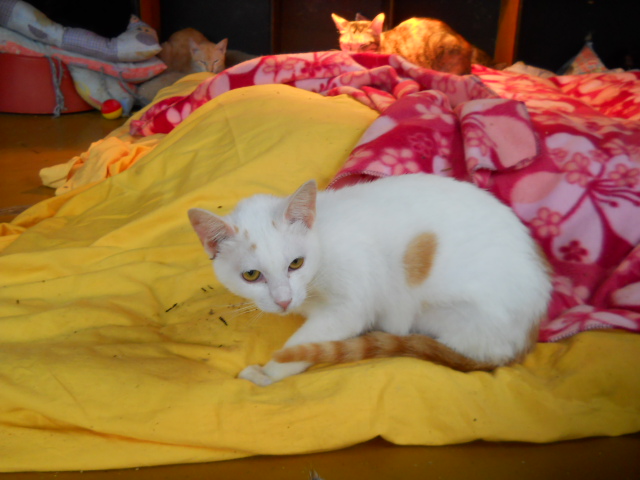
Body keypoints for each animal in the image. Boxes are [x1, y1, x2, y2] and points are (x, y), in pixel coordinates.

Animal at [188, 174, 552, 386]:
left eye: (295, 263)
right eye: (251, 275)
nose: (283, 300)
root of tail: (524, 340)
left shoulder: (349, 304)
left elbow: (303, 344)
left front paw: (268, 374)